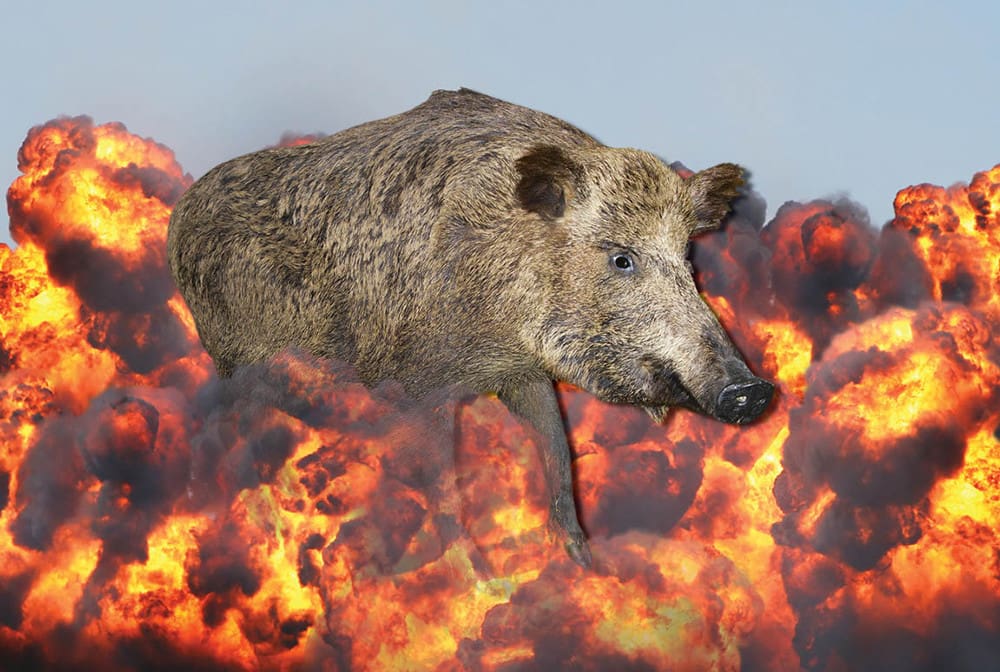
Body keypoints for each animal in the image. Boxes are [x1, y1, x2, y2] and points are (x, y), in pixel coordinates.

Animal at [167, 88, 774, 568]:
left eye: (690, 260)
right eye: (621, 259)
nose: (753, 389)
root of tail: (181, 214)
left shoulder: (522, 372)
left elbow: (557, 452)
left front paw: (581, 559)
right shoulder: (417, 382)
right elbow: (444, 481)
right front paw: (474, 569)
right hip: (233, 356)